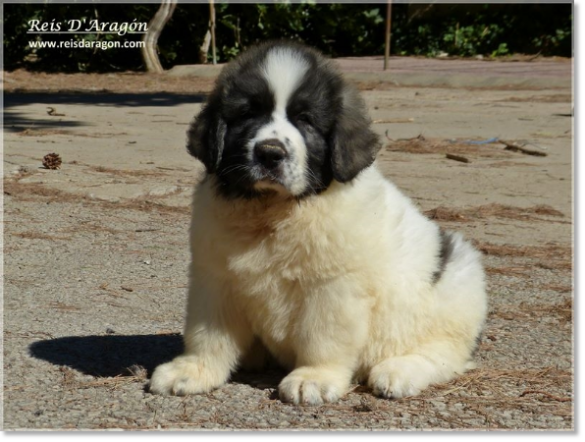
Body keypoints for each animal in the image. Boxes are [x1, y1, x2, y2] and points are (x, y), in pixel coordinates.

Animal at [148, 40, 486, 404]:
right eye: (247, 114)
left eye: (306, 120)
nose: (270, 153)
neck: (274, 212)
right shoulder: (215, 278)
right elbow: (207, 333)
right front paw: (193, 369)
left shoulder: (332, 286)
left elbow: (322, 336)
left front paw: (314, 377)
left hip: (455, 285)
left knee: (443, 353)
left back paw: (399, 371)